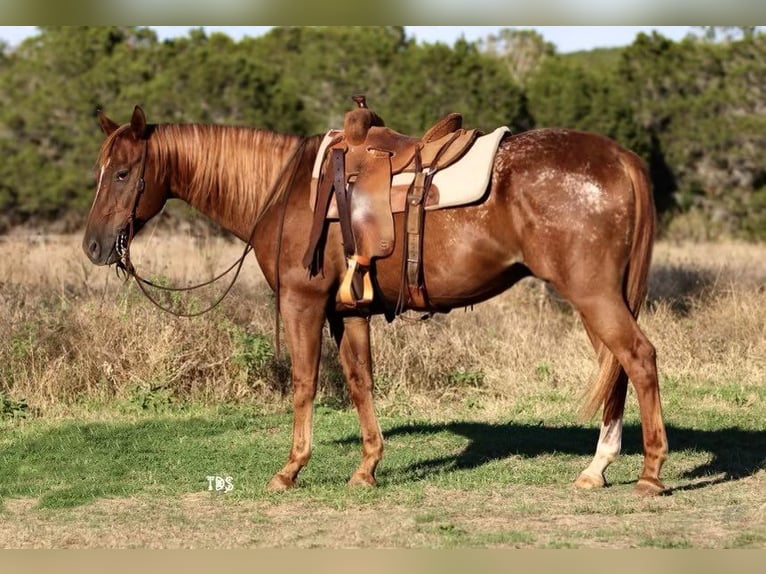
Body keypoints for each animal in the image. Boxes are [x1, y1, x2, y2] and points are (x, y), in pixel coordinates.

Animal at [84, 106, 668, 498]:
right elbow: (360, 382)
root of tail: (621, 158)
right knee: (616, 368)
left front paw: (290, 469)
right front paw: (367, 468)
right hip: (601, 298)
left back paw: (650, 472)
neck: (285, 190)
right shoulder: (349, 312)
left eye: (122, 172)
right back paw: (597, 469)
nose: (93, 245)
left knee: (638, 359)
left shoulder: (303, 304)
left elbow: (304, 383)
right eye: (101, 170)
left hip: (592, 295)